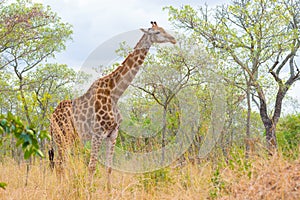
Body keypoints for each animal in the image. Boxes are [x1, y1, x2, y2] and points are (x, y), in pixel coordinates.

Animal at [49, 21, 176, 190]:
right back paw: (61, 188)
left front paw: (108, 191)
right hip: (62, 137)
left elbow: (109, 167)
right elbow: (92, 166)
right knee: (60, 164)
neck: (115, 94)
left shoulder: (113, 134)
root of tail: (52, 116)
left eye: (163, 29)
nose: (173, 39)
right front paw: (89, 191)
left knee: (61, 163)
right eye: (156, 32)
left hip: (68, 138)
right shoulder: (97, 134)